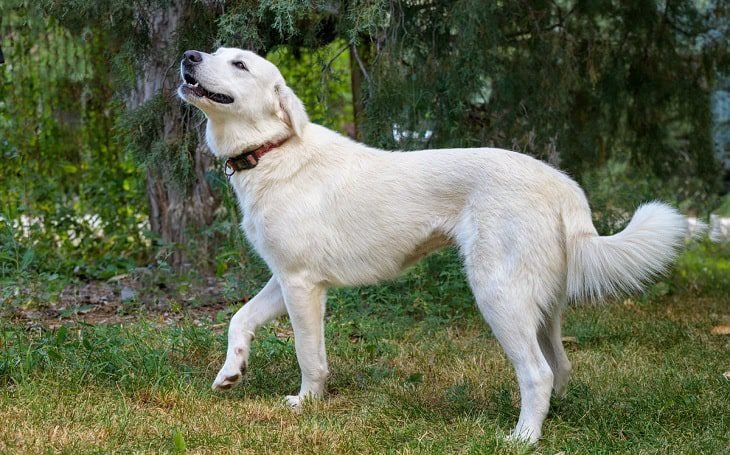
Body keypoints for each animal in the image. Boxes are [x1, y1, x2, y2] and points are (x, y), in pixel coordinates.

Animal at [178, 48, 688, 444]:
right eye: (216, 51)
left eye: (240, 64)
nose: (188, 56)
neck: (274, 150)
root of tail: (565, 188)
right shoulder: (283, 278)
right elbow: (239, 319)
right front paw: (231, 372)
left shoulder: (302, 285)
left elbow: (309, 356)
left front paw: (307, 403)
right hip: (539, 308)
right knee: (559, 367)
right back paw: (546, 424)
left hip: (498, 295)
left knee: (538, 372)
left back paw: (522, 438)